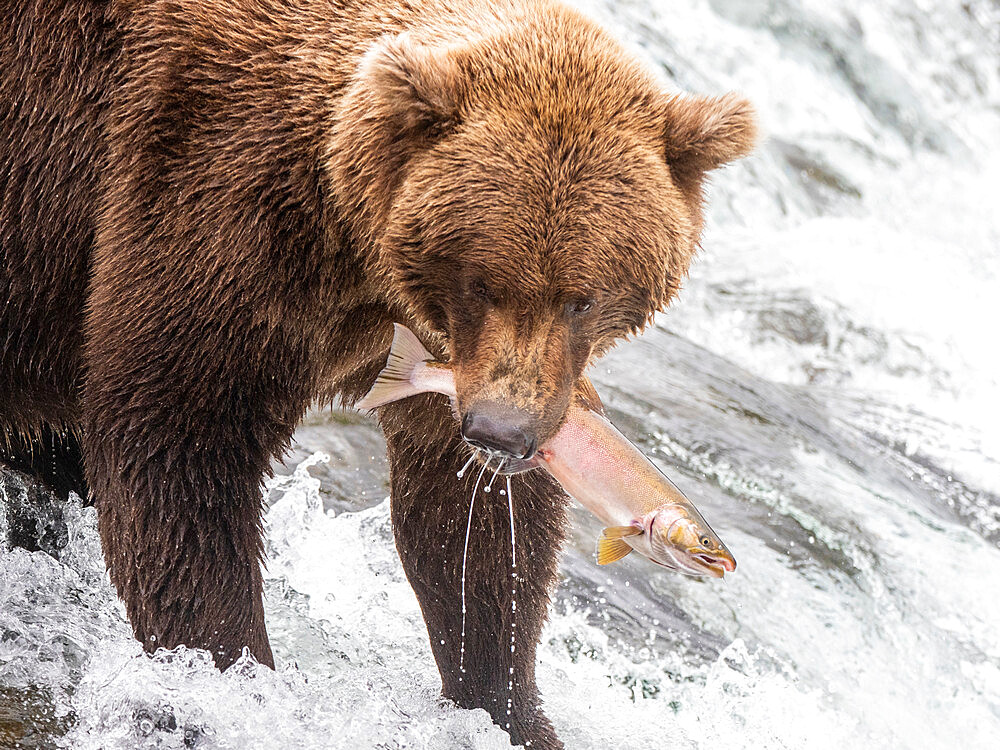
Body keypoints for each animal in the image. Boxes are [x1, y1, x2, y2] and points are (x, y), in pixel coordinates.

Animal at [0, 0, 752, 744]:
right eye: (484, 282)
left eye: (582, 297)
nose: (502, 433)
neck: (350, 239)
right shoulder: (210, 202)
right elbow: (179, 443)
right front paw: (233, 680)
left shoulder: (437, 350)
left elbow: (466, 527)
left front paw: (506, 703)